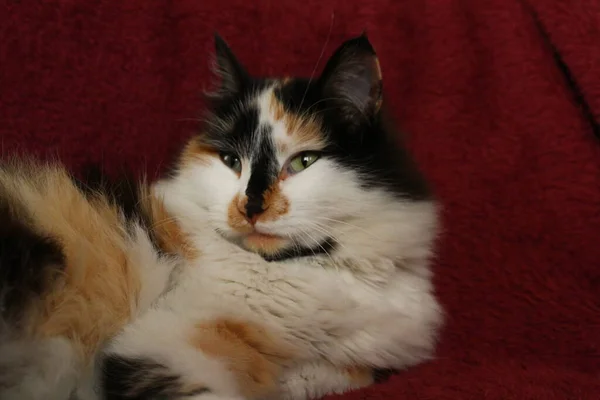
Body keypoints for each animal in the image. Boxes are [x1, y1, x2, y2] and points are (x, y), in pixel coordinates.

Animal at [0, 32, 440, 400]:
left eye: (303, 161)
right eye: (231, 161)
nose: (250, 207)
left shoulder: (349, 359)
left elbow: (337, 374)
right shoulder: (162, 341)